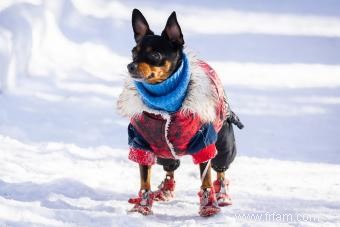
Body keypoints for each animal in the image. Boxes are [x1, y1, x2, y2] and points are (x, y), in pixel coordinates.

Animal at [117, 8, 242, 217]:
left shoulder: (204, 144)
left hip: (224, 143)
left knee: (220, 169)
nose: (130, 66)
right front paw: (142, 206)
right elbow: (144, 179)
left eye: (156, 55)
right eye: (133, 52)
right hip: (163, 150)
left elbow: (206, 179)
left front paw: (208, 205)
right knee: (170, 168)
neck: (165, 103)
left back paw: (222, 195)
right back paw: (165, 190)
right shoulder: (142, 145)